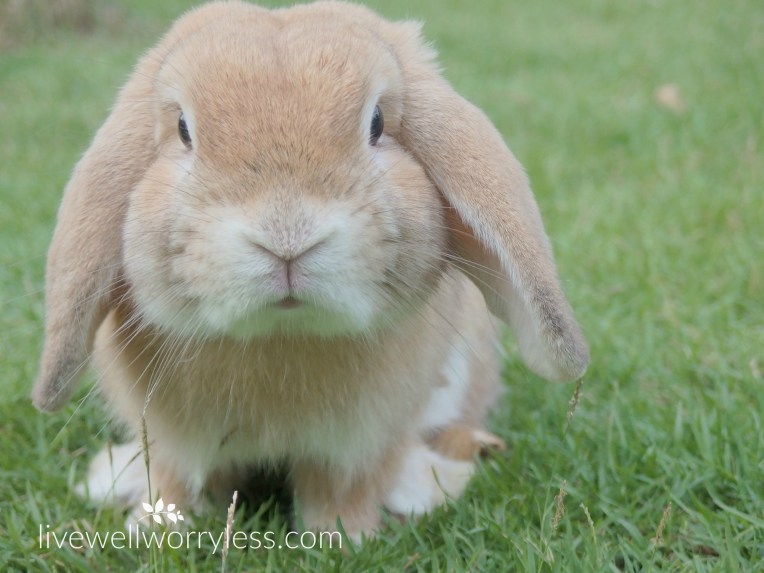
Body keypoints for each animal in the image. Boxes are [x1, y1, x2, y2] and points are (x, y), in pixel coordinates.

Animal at [32, 0, 589, 541]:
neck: (281, 335)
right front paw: (156, 528)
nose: (286, 236)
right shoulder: (171, 440)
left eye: (377, 122)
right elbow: (176, 480)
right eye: (184, 130)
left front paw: (342, 538)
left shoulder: (359, 444)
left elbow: (340, 489)